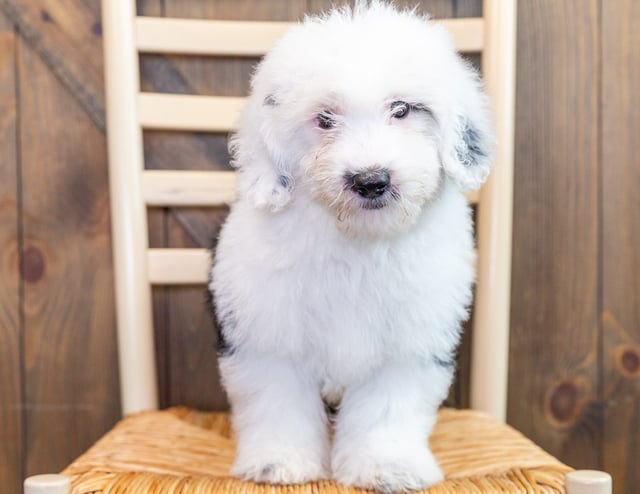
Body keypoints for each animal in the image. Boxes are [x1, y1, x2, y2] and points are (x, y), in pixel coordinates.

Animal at [212, 0, 492, 490]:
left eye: (403, 109)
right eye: (324, 119)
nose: (371, 180)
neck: (358, 242)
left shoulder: (408, 343)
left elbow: (386, 408)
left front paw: (387, 466)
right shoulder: (269, 334)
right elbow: (277, 401)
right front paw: (279, 461)